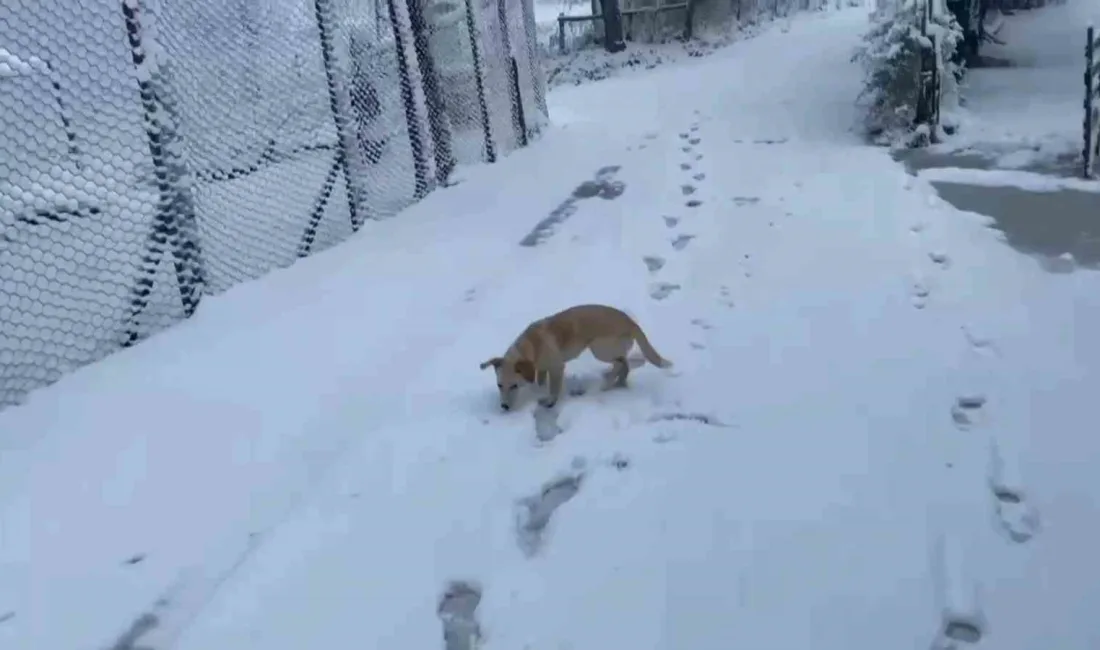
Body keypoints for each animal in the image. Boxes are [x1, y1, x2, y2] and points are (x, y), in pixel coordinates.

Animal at [479, 305, 668, 411]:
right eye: (499, 385)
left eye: (514, 386)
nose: (504, 407)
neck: (532, 344)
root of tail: (631, 322)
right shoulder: (541, 369)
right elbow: (541, 381)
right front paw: (539, 391)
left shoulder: (556, 367)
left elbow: (554, 389)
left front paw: (550, 401)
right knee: (625, 363)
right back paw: (619, 383)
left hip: (599, 349)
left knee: (620, 362)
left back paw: (607, 383)